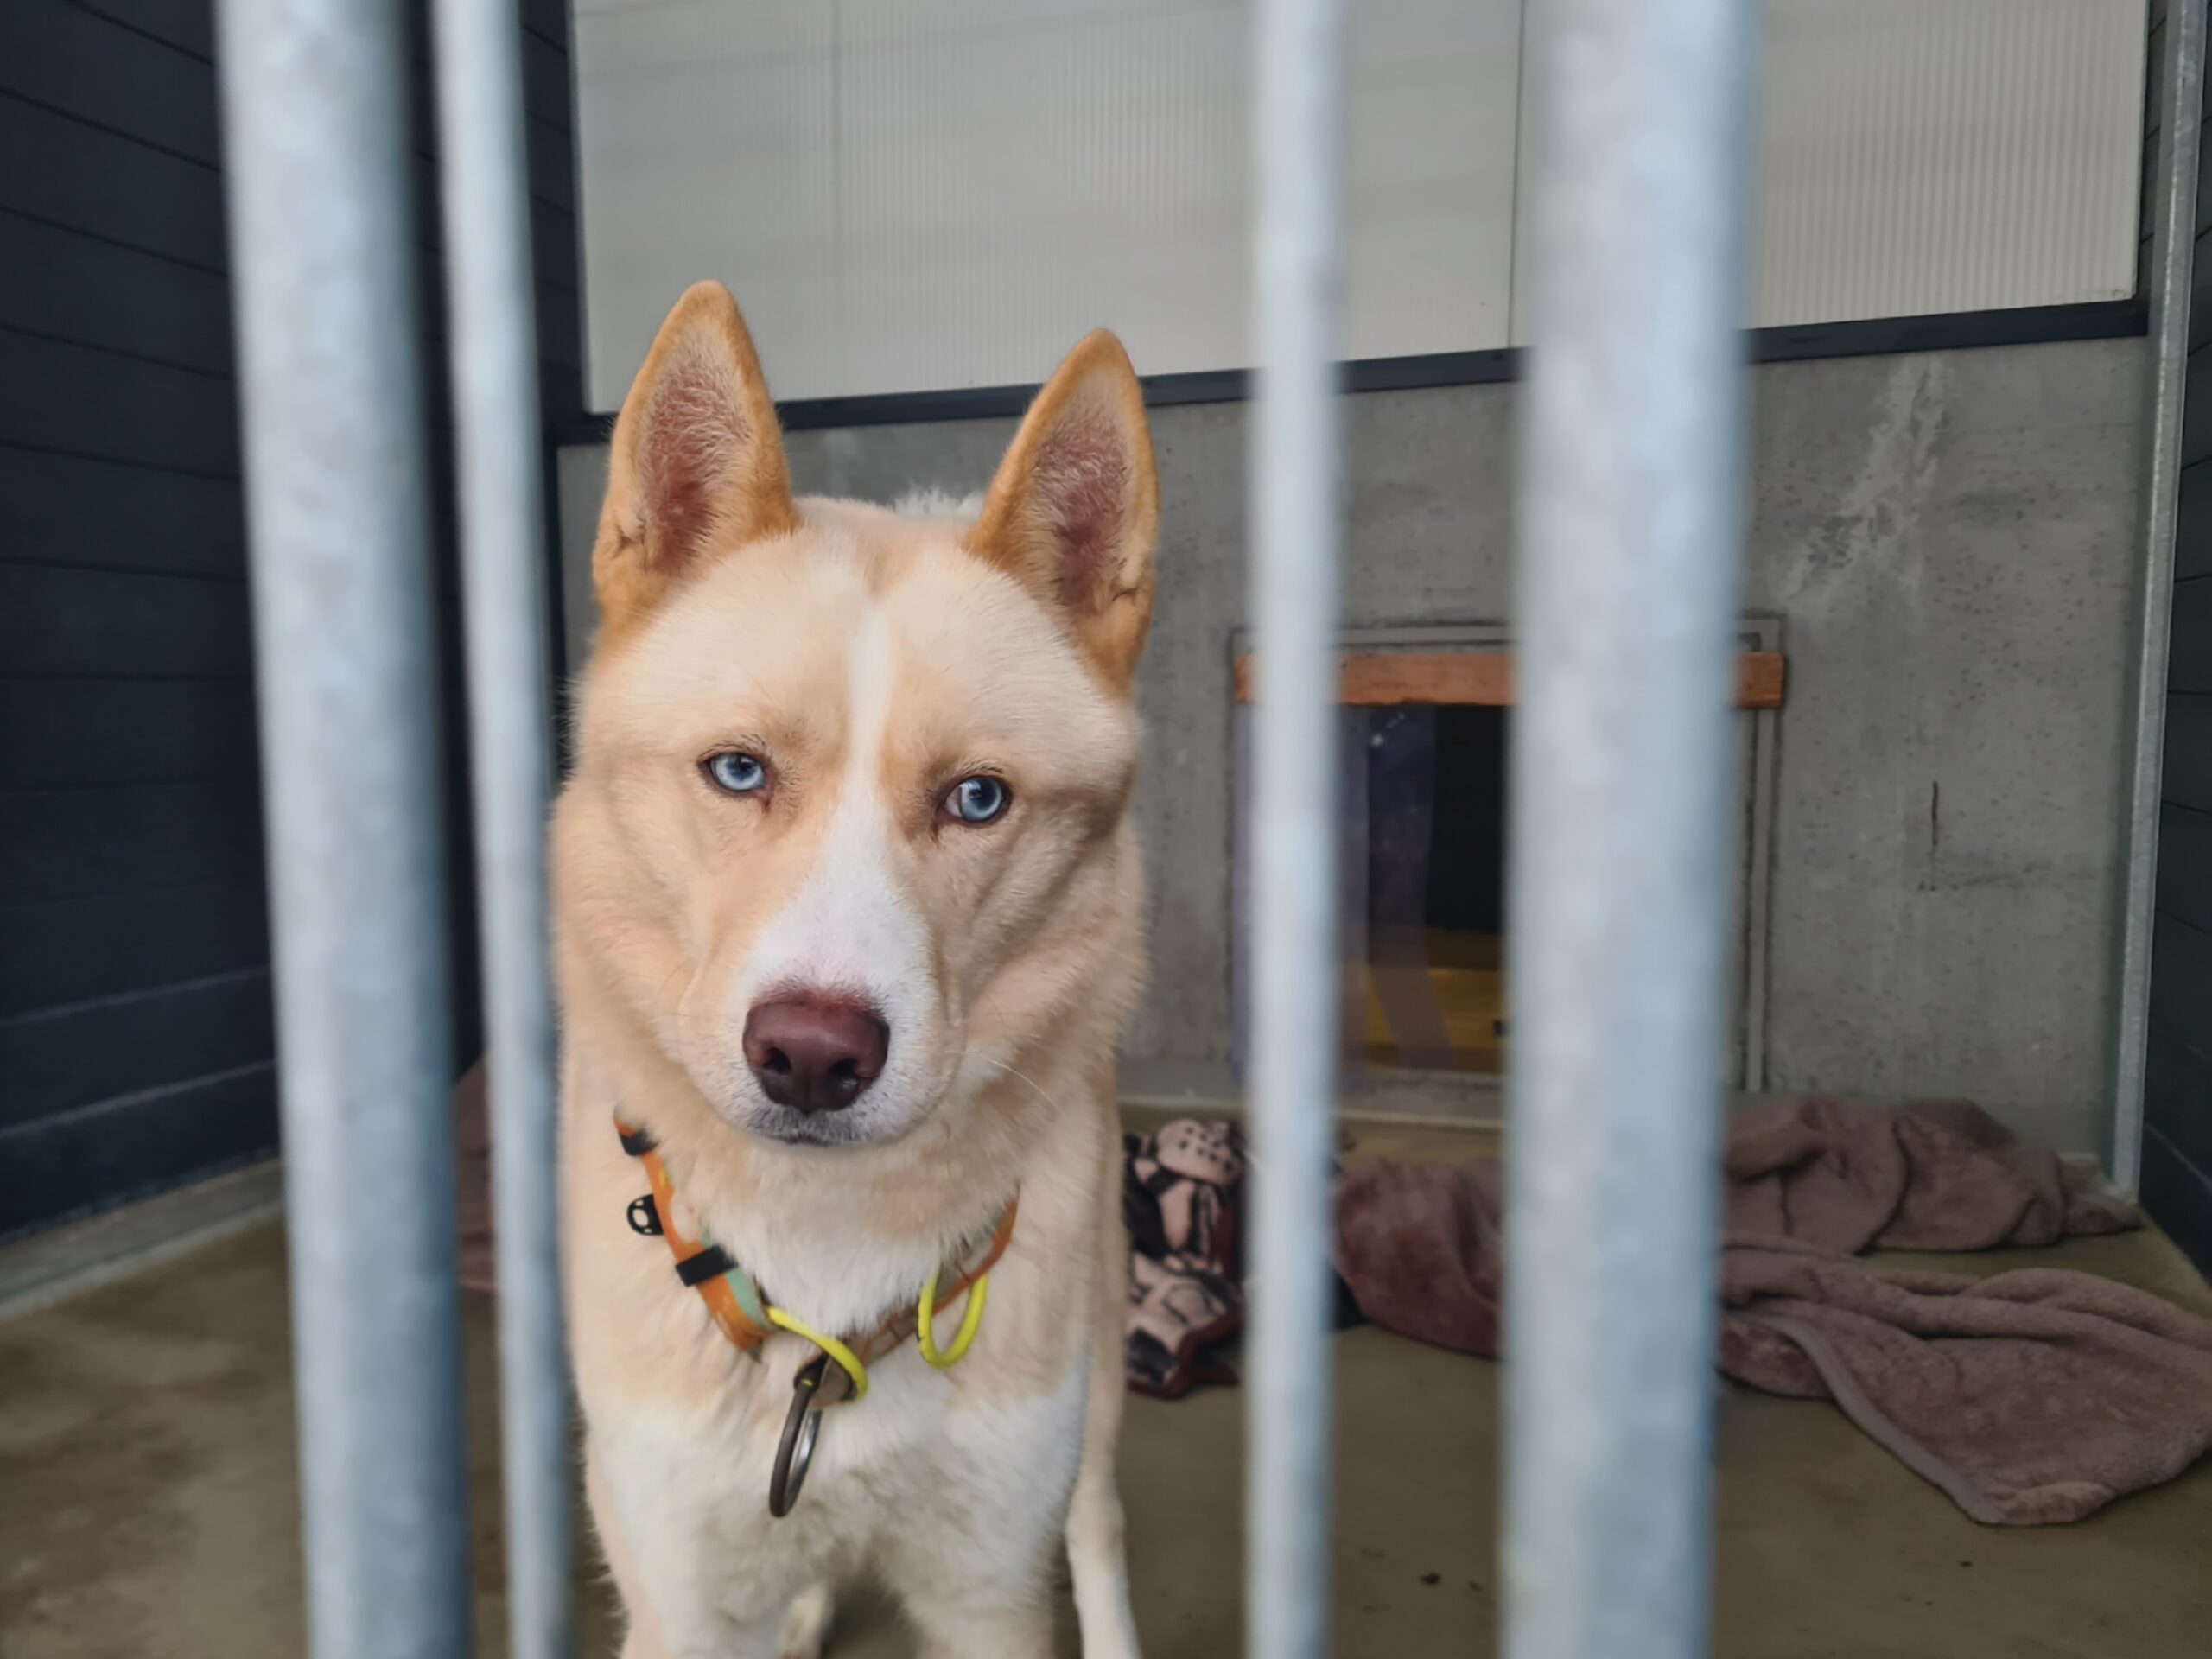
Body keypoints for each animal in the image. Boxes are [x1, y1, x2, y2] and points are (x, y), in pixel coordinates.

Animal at [554, 281, 1156, 1659]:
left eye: (977, 799)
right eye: (737, 771)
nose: (813, 1057)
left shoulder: (991, 1586)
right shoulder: (677, 1589)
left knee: (1100, 1524)